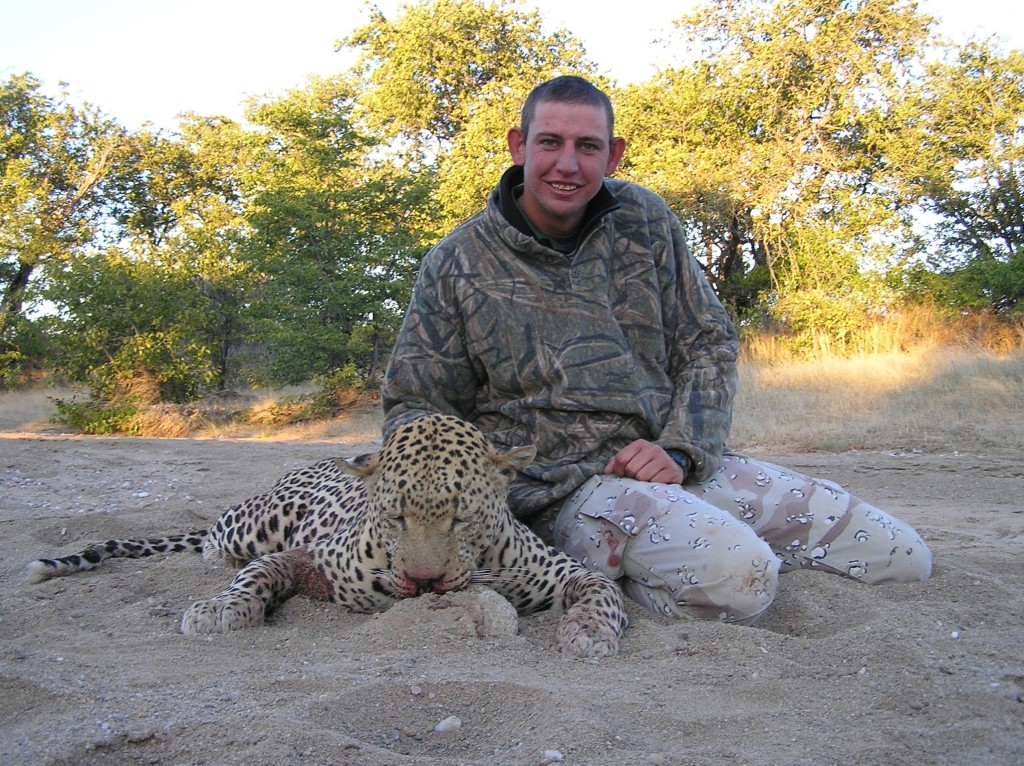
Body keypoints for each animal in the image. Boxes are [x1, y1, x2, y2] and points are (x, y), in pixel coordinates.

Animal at [28, 413, 626, 659]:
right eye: (394, 517)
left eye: (461, 517)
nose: (424, 582)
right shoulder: (312, 557)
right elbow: (259, 574)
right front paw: (220, 608)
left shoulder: (566, 570)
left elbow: (605, 591)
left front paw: (591, 631)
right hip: (254, 522)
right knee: (218, 537)